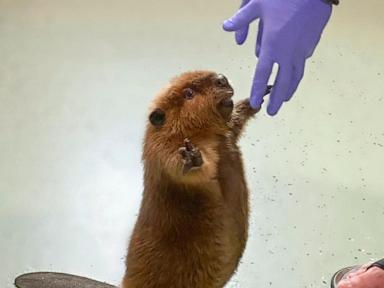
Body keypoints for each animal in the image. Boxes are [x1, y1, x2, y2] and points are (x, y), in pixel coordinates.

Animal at [122, 71, 270, 288]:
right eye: (189, 93)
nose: (221, 78)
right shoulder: (162, 151)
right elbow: (185, 168)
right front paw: (191, 157)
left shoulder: (226, 134)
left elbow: (234, 122)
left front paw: (259, 94)